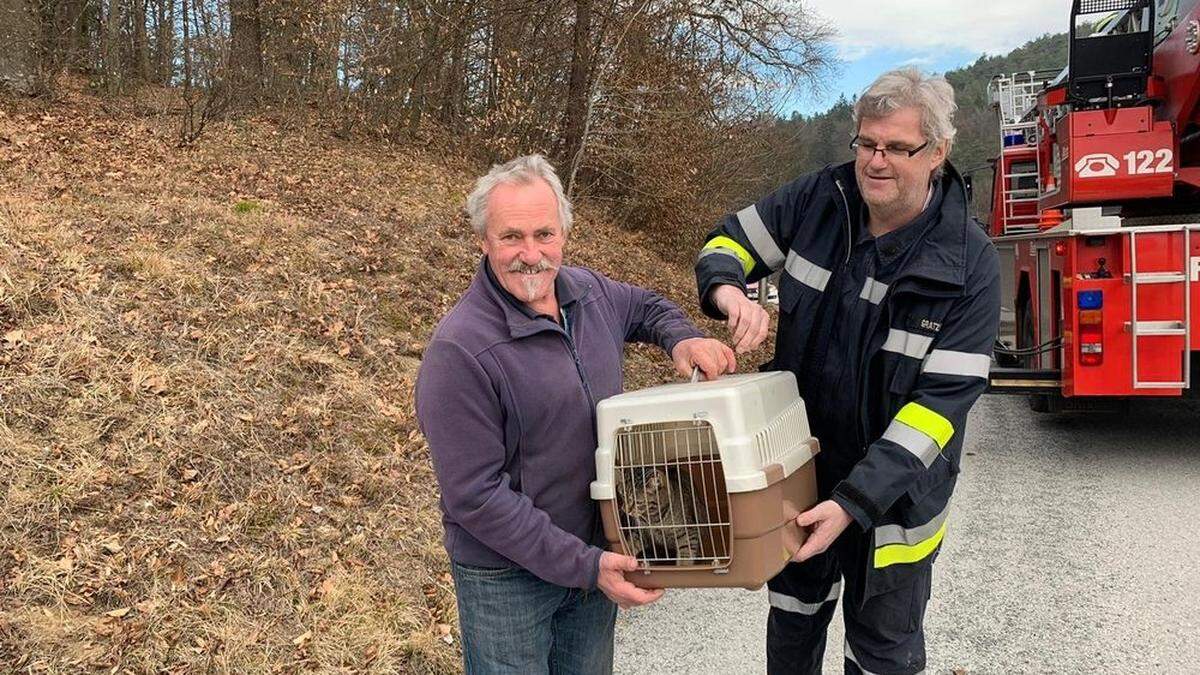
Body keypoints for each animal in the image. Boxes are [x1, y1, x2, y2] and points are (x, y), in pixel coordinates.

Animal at [592, 369, 820, 586]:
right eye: (622, 496)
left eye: (636, 501)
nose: (624, 509)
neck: (654, 519)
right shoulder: (641, 533)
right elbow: (631, 543)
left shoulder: (687, 533)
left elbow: (685, 555)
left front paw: (682, 569)